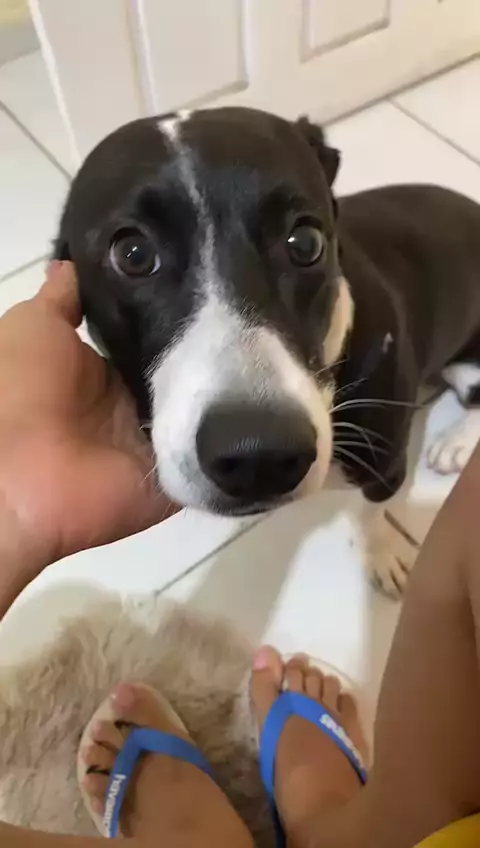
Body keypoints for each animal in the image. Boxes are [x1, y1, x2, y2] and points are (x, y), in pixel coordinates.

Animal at [54, 107, 480, 593]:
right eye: (132, 254)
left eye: (306, 242)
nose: (259, 457)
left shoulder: (385, 464)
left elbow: (376, 515)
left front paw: (384, 553)